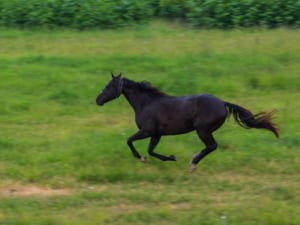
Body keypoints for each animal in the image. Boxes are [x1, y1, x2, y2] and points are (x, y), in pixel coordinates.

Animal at [95, 73, 278, 171]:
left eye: (108, 86)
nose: (98, 100)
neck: (146, 103)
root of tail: (222, 103)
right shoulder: (156, 134)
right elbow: (151, 150)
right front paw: (170, 157)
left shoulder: (147, 131)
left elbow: (129, 141)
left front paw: (142, 158)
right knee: (210, 147)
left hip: (202, 130)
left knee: (212, 146)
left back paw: (193, 163)